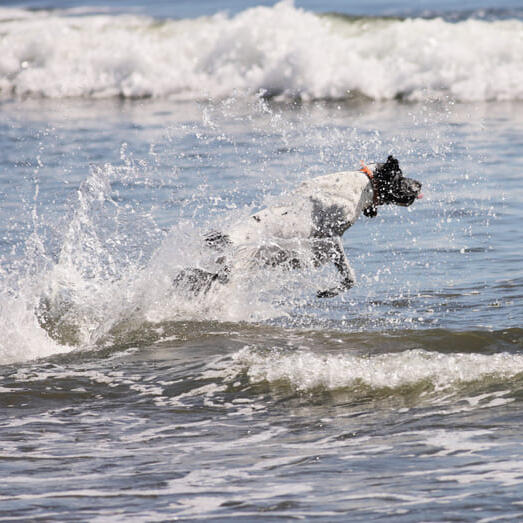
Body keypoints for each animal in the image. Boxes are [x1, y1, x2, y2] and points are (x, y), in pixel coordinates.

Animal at [174, 156, 424, 298]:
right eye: (400, 176)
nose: (420, 184)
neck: (364, 185)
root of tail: (227, 238)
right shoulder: (330, 238)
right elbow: (349, 276)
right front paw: (331, 291)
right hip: (235, 269)